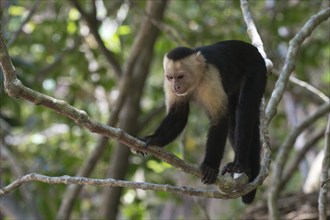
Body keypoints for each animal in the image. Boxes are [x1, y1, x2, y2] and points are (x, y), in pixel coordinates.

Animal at [142, 40, 268, 203]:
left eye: (180, 76)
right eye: (170, 77)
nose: (176, 86)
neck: (198, 78)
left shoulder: (211, 78)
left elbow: (219, 119)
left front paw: (210, 166)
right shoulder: (169, 86)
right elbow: (179, 115)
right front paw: (153, 139)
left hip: (257, 69)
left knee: (245, 111)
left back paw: (239, 165)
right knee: (233, 119)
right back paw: (248, 169)